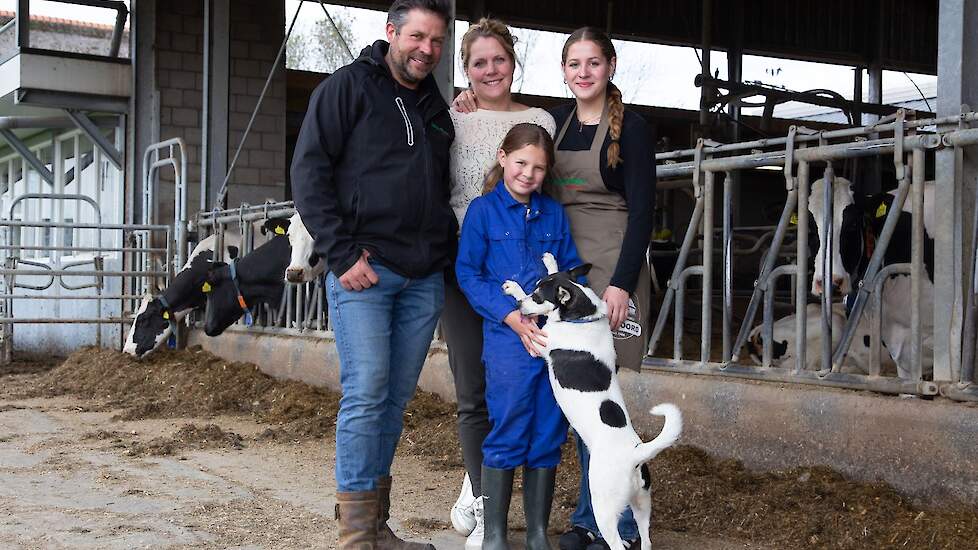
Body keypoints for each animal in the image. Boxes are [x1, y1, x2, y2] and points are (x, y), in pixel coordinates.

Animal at [504, 254, 680, 550]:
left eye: (537, 296)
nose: (519, 306)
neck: (582, 319)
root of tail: (635, 455)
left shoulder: (542, 343)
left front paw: (514, 288)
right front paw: (551, 261)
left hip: (604, 508)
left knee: (617, 543)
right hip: (642, 504)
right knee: (645, 540)